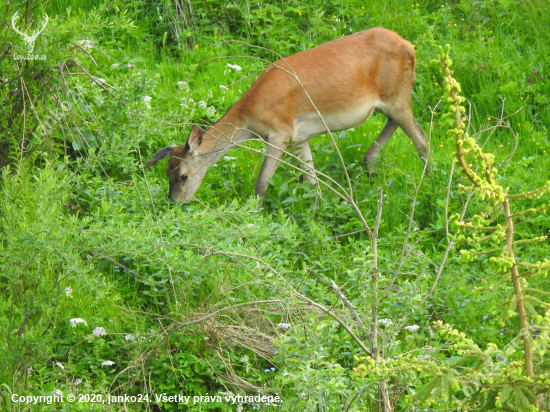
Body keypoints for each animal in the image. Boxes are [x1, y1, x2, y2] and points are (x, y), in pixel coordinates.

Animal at [147, 27, 432, 203]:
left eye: (183, 176)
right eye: (166, 172)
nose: (175, 201)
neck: (249, 121)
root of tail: (410, 46)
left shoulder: (279, 131)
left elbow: (262, 182)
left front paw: (254, 217)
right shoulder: (299, 136)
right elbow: (311, 181)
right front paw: (316, 214)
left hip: (397, 94)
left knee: (421, 139)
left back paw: (426, 185)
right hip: (390, 100)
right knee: (394, 125)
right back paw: (371, 169)